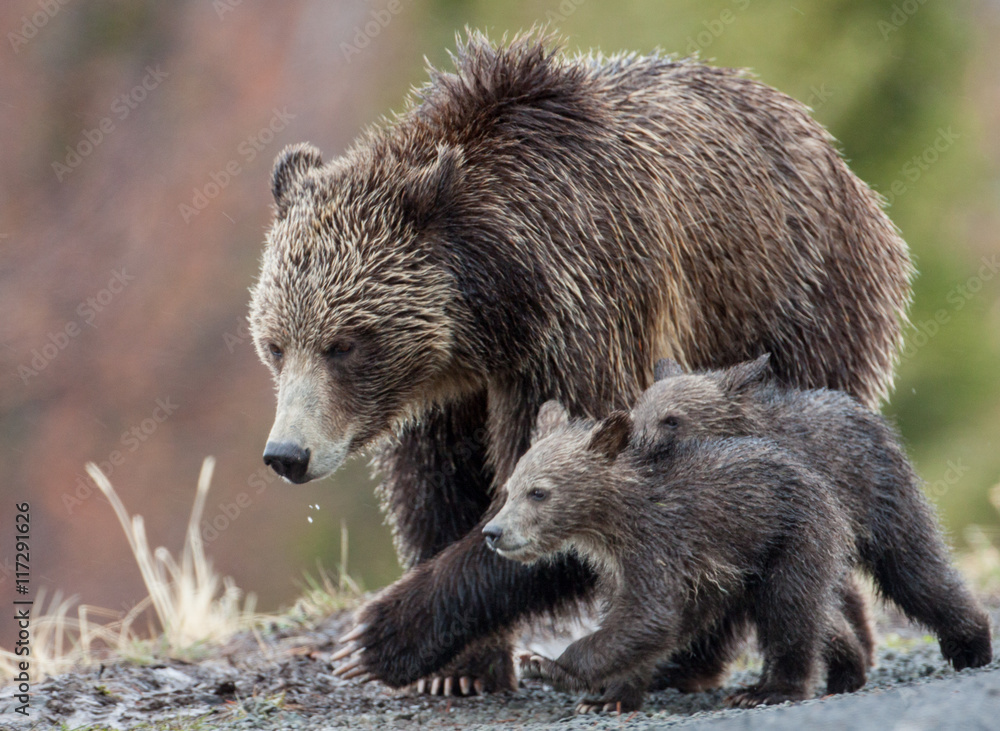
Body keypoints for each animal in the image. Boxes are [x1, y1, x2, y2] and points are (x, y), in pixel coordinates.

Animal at [483, 401, 869, 713]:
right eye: (509, 489)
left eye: (538, 492)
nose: (493, 532)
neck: (608, 523)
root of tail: (820, 482)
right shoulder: (616, 567)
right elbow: (633, 621)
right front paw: (607, 699)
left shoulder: (658, 543)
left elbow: (648, 617)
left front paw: (543, 664)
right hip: (751, 563)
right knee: (815, 612)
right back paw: (849, 668)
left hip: (792, 535)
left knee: (789, 607)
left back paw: (768, 691)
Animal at [627, 354, 993, 677]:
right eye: (636, 417)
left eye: (672, 419)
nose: (638, 450)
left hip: (882, 501)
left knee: (914, 570)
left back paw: (971, 645)